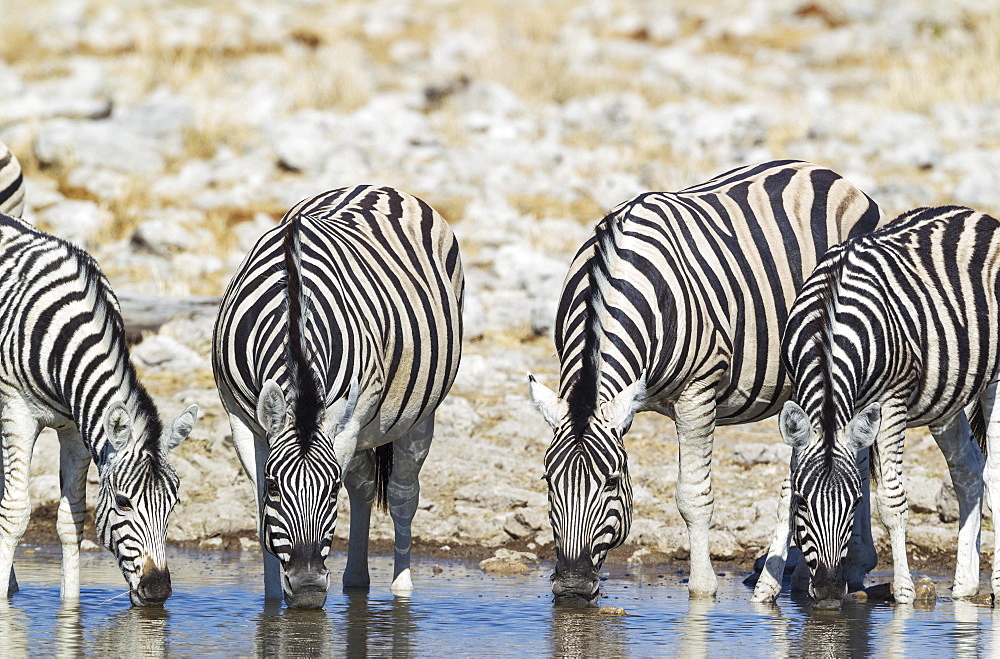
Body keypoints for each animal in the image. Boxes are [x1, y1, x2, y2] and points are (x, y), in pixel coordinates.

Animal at [0, 210, 198, 604]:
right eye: (123, 502)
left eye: (174, 503)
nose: (157, 591)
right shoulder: (17, 411)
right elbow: (14, 514)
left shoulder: (77, 428)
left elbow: (72, 519)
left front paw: (70, 607)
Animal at [215, 184, 464, 608]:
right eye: (276, 487)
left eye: (330, 493)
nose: (308, 590)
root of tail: (376, 186)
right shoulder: (240, 420)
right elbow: (261, 515)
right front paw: (272, 605)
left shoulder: (346, 425)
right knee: (364, 488)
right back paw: (356, 581)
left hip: (417, 414)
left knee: (402, 495)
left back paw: (401, 588)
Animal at [528, 160, 880, 604]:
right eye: (548, 481)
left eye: (610, 482)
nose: (573, 588)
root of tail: (825, 172)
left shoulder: (697, 392)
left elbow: (692, 496)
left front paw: (702, 589)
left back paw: (844, 566)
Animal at [752, 209, 1000, 604]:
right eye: (804, 504)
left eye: (855, 504)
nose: (828, 588)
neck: (829, 324)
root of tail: (977, 215)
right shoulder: (804, 395)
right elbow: (785, 490)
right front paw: (765, 589)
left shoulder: (892, 399)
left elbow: (891, 499)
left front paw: (904, 593)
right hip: (946, 399)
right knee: (967, 469)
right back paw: (964, 584)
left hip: (994, 379)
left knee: (993, 472)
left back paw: (995, 585)